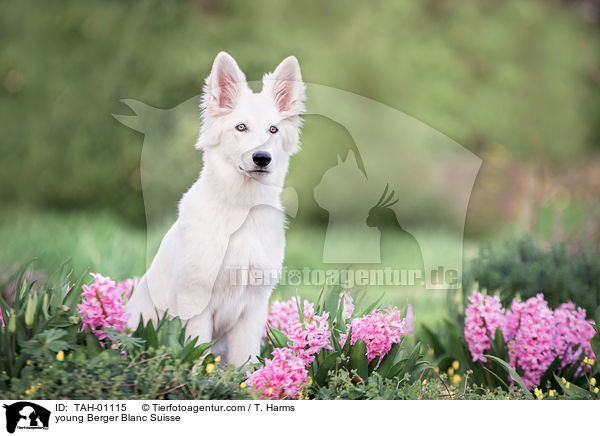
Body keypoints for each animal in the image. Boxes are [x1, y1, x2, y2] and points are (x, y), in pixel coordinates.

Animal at [125, 51, 304, 364]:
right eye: (241, 127)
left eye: (273, 129)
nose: (262, 158)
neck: (241, 209)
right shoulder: (196, 301)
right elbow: (196, 353)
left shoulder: (254, 306)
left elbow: (245, 361)